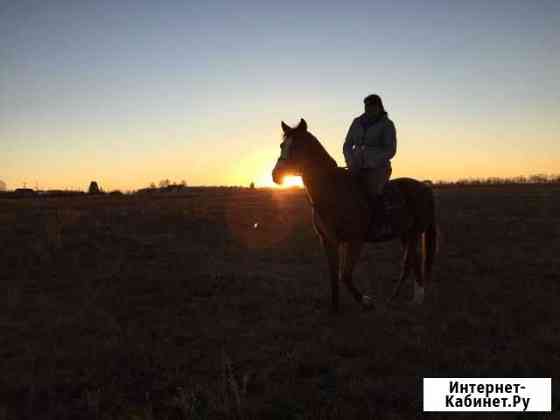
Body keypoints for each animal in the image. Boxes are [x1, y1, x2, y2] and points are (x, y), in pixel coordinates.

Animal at [272, 118, 438, 312]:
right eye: (282, 145)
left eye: (297, 146)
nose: (276, 175)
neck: (333, 192)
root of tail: (424, 187)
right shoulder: (328, 241)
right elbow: (333, 275)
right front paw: (335, 308)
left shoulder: (355, 241)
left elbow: (344, 275)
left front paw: (366, 301)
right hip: (405, 234)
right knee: (413, 262)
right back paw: (407, 299)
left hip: (413, 234)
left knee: (410, 262)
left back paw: (411, 299)